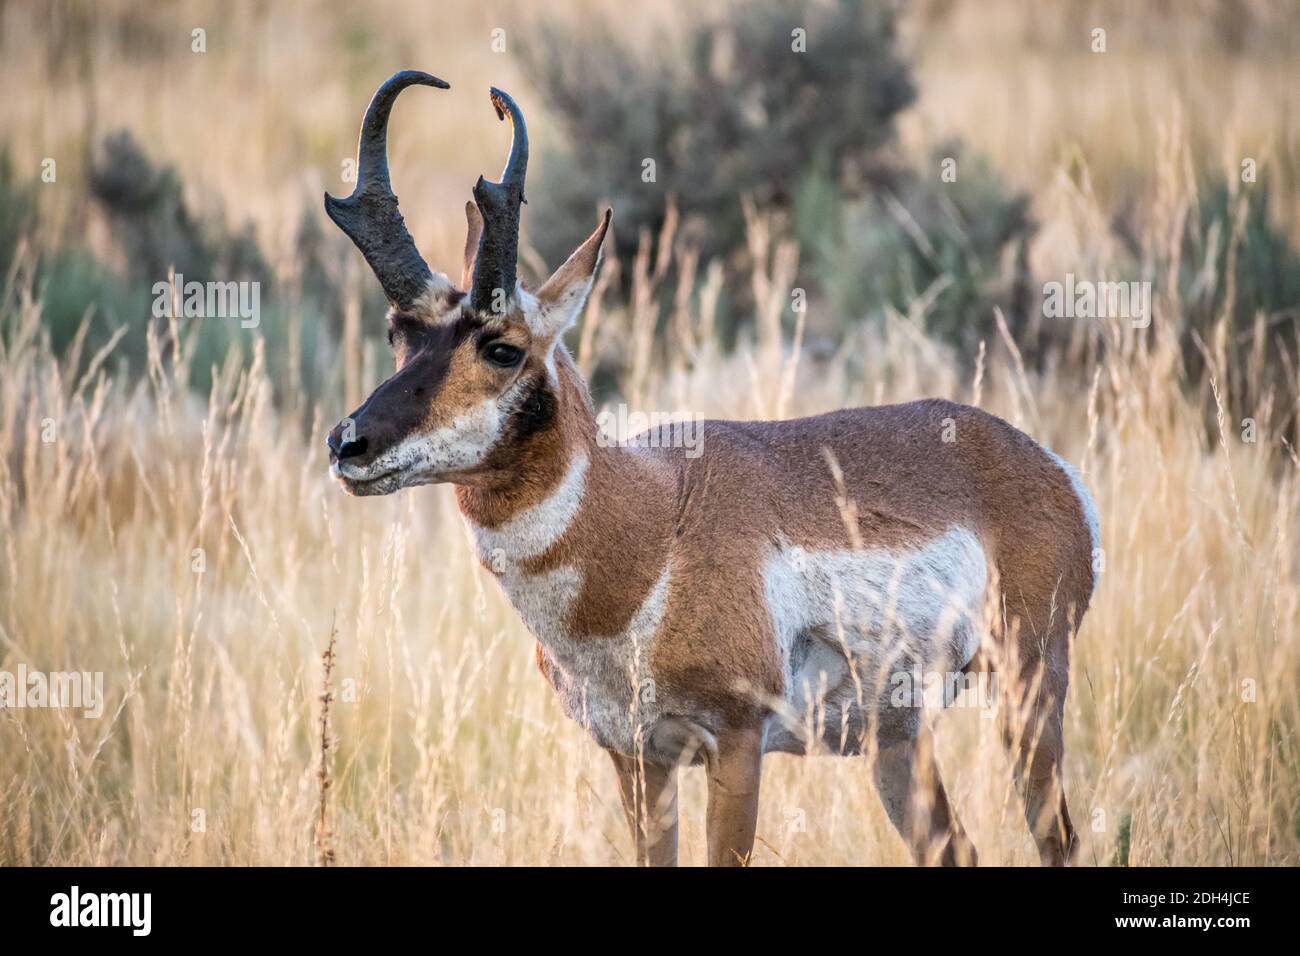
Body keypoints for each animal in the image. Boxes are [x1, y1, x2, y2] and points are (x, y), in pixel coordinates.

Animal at [322, 72, 1097, 868]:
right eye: (399, 334)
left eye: (503, 348)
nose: (348, 444)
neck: (650, 522)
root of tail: (1039, 462)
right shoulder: (637, 757)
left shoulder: (736, 743)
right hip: (898, 739)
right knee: (956, 848)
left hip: (1030, 690)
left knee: (1059, 838)